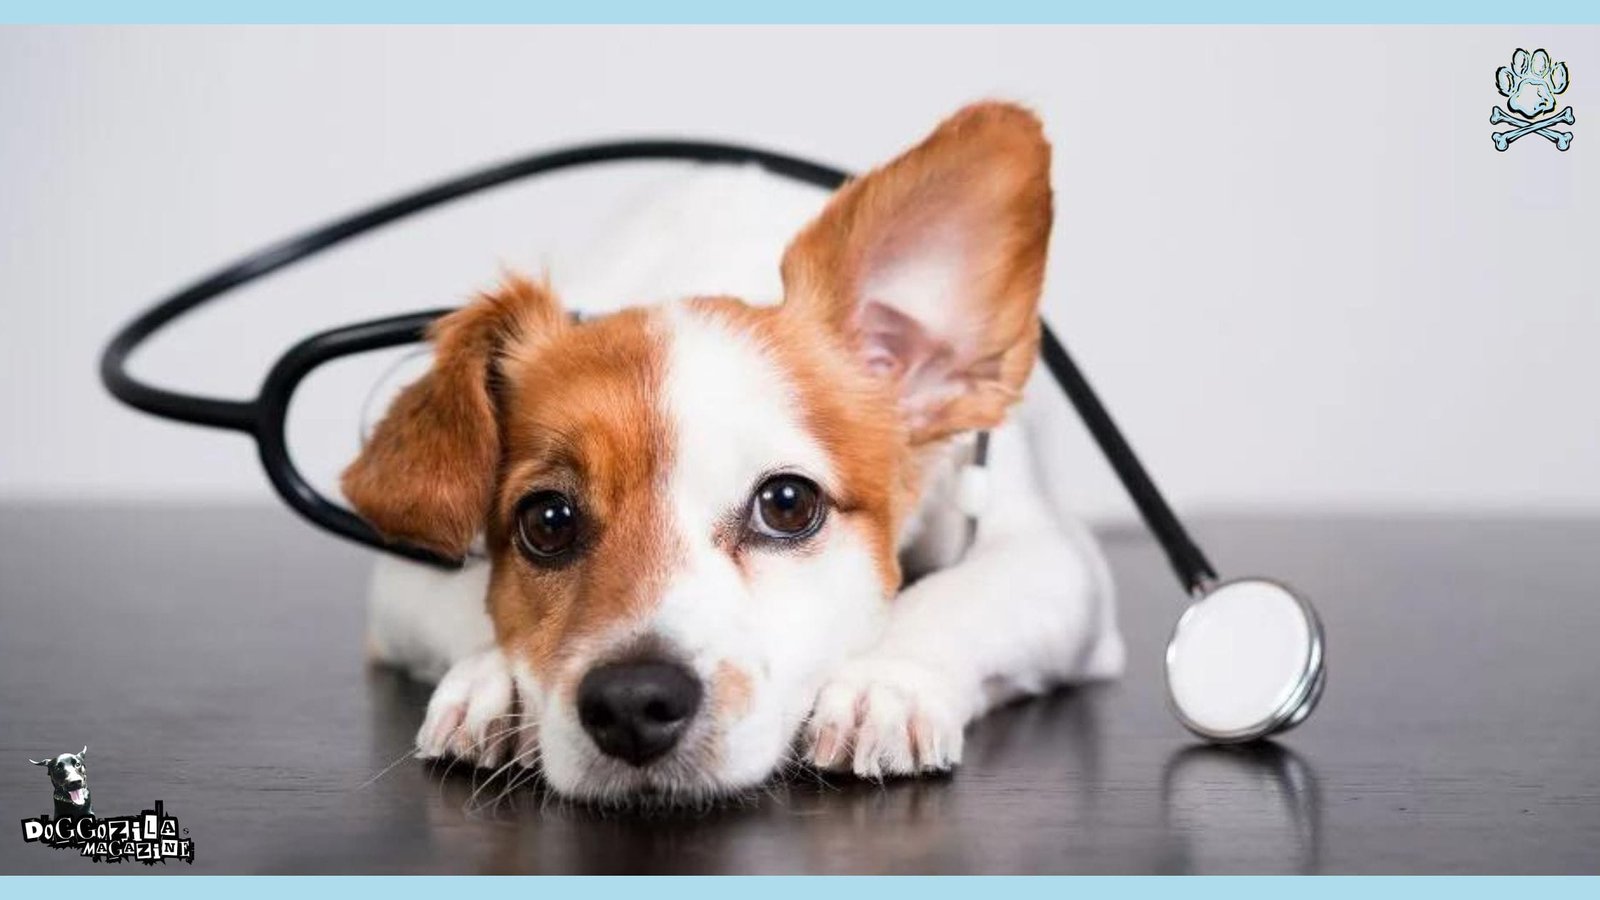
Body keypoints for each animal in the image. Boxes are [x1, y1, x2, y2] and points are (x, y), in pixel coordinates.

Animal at [342, 101, 1126, 800]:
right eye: (546, 521)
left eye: (788, 504)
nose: (633, 702)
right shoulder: (402, 581)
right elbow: (465, 602)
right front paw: (496, 681)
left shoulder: (1053, 558)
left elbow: (957, 596)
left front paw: (883, 681)